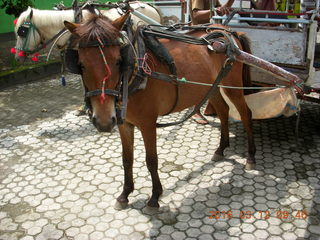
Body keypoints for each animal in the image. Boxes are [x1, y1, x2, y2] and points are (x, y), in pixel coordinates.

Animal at [63, 13, 256, 208]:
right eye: (81, 64)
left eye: (118, 61)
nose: (103, 121)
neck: (135, 72)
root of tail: (228, 31)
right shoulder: (123, 124)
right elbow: (126, 159)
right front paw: (125, 193)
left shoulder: (147, 123)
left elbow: (151, 160)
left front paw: (155, 196)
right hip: (213, 86)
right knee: (223, 111)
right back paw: (221, 149)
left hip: (233, 85)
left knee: (246, 114)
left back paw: (251, 157)